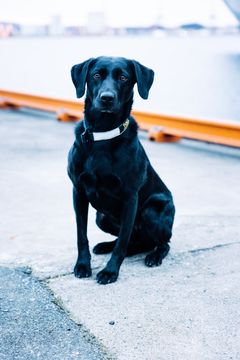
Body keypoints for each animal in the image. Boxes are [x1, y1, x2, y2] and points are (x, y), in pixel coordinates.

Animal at [68, 57, 175, 284]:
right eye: (96, 75)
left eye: (124, 77)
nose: (107, 98)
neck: (103, 134)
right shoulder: (78, 191)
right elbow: (81, 235)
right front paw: (82, 265)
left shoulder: (130, 198)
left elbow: (122, 244)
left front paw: (110, 271)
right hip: (101, 217)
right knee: (135, 242)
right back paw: (105, 246)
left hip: (152, 210)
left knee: (160, 243)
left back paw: (154, 256)